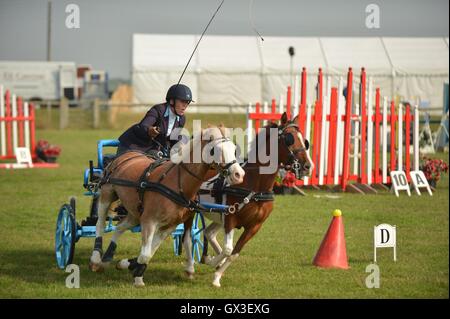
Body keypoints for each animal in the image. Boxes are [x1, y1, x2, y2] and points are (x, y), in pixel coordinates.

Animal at [89, 127, 244, 288]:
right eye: (215, 150)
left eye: (233, 149)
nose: (239, 175)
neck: (178, 184)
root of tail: (128, 154)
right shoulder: (149, 221)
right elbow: (146, 253)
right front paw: (138, 278)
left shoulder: (169, 225)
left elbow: (149, 252)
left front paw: (133, 269)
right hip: (107, 194)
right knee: (100, 224)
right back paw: (96, 258)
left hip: (134, 212)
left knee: (119, 227)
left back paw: (108, 256)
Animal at [183, 114, 312, 288]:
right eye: (289, 139)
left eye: (304, 140)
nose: (307, 166)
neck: (255, 188)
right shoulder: (230, 218)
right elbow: (228, 249)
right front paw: (210, 261)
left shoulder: (254, 226)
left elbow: (234, 253)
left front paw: (217, 275)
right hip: (192, 210)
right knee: (188, 237)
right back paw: (191, 266)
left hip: (218, 216)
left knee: (208, 233)